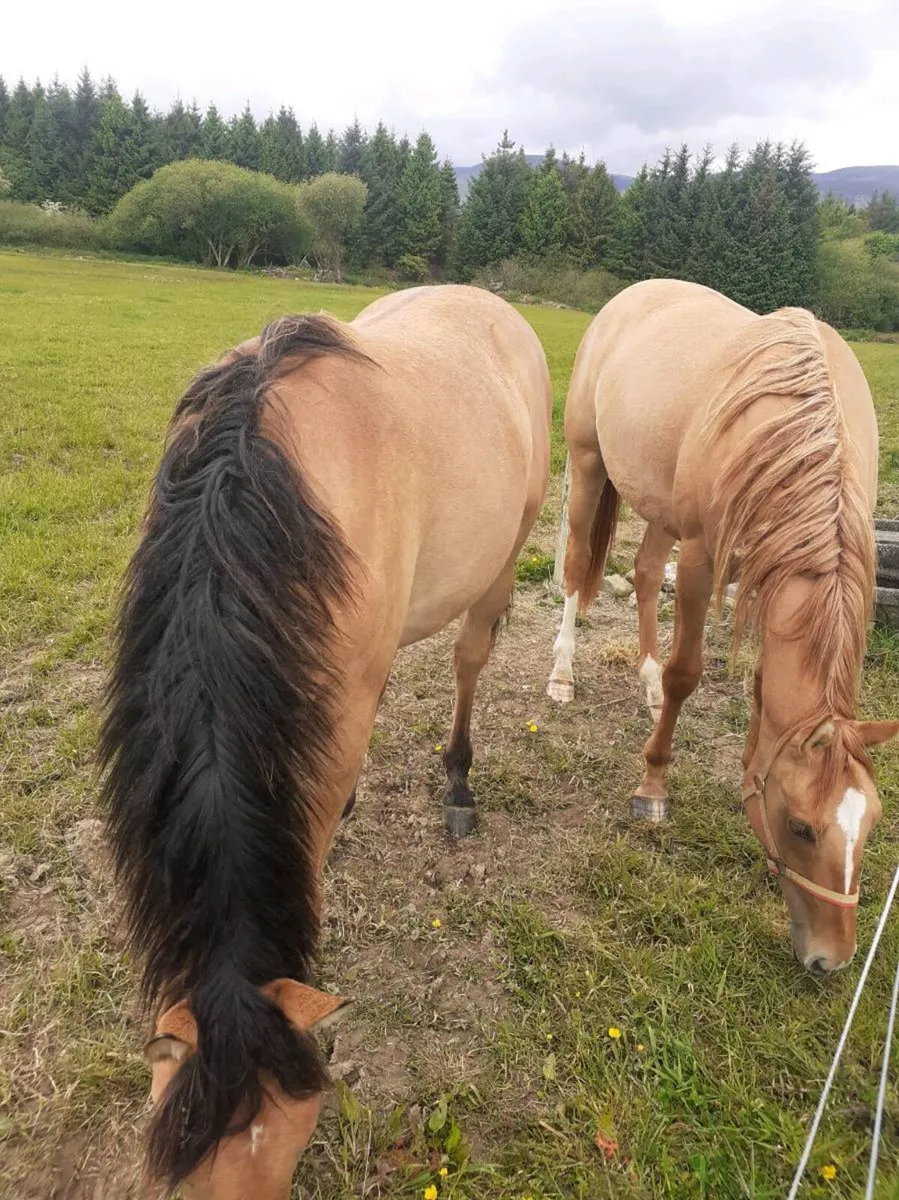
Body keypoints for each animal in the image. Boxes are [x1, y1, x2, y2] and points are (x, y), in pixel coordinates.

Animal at [547, 278, 898, 976]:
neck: (799, 437)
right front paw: (653, 783)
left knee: (646, 573)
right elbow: (688, 674)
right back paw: (563, 674)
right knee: (575, 570)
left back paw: (645, 682)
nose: (832, 961)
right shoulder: (704, 559)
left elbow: (760, 690)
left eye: (870, 823)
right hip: (590, 465)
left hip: (657, 505)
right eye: (802, 826)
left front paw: (742, 769)